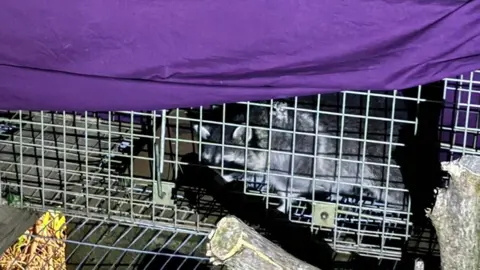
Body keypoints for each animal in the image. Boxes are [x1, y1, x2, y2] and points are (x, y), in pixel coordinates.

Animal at [191, 99, 404, 213]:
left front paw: (288, 200)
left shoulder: (296, 148)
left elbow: (298, 180)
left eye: (228, 163)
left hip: (367, 153)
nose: (221, 182)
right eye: (210, 164)